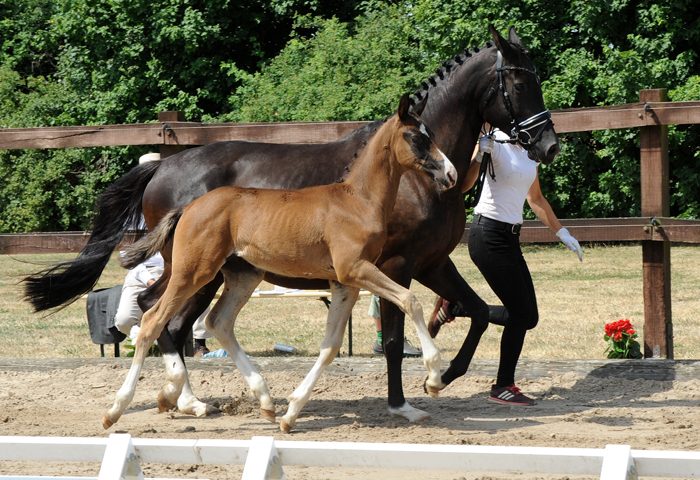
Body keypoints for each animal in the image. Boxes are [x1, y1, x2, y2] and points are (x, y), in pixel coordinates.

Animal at [102, 94, 454, 432]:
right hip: (194, 271)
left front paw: (292, 413)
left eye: (432, 135)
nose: (450, 174)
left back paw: (263, 399)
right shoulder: (356, 269)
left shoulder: (345, 283)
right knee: (153, 319)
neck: (357, 201)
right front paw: (434, 377)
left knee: (218, 321)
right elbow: (411, 300)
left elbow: (330, 346)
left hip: (241, 276)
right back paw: (120, 409)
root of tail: (188, 208)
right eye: (415, 137)